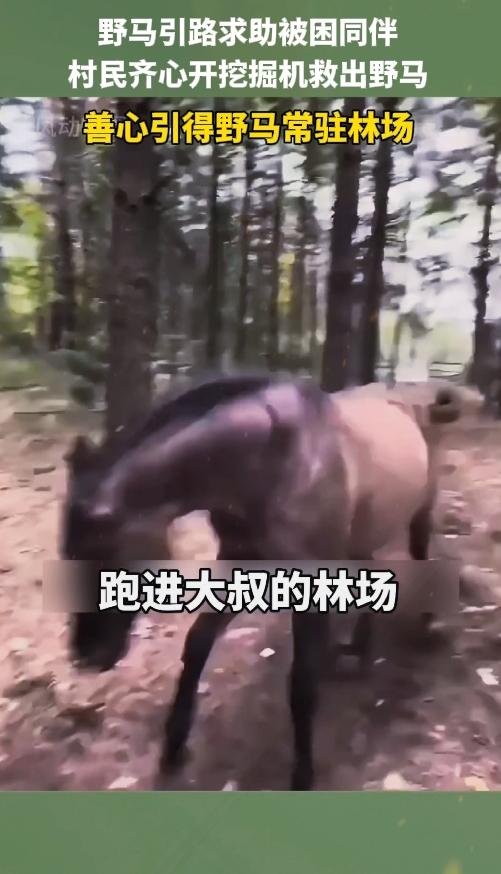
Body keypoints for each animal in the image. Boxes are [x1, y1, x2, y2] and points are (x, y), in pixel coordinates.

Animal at [61, 372, 460, 790]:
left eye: (101, 550)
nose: (87, 655)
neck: (273, 464)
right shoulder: (238, 564)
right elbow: (197, 645)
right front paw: (173, 746)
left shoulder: (310, 581)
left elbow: (301, 682)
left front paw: (303, 773)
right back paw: (358, 650)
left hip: (421, 509)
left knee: (422, 553)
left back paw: (426, 625)